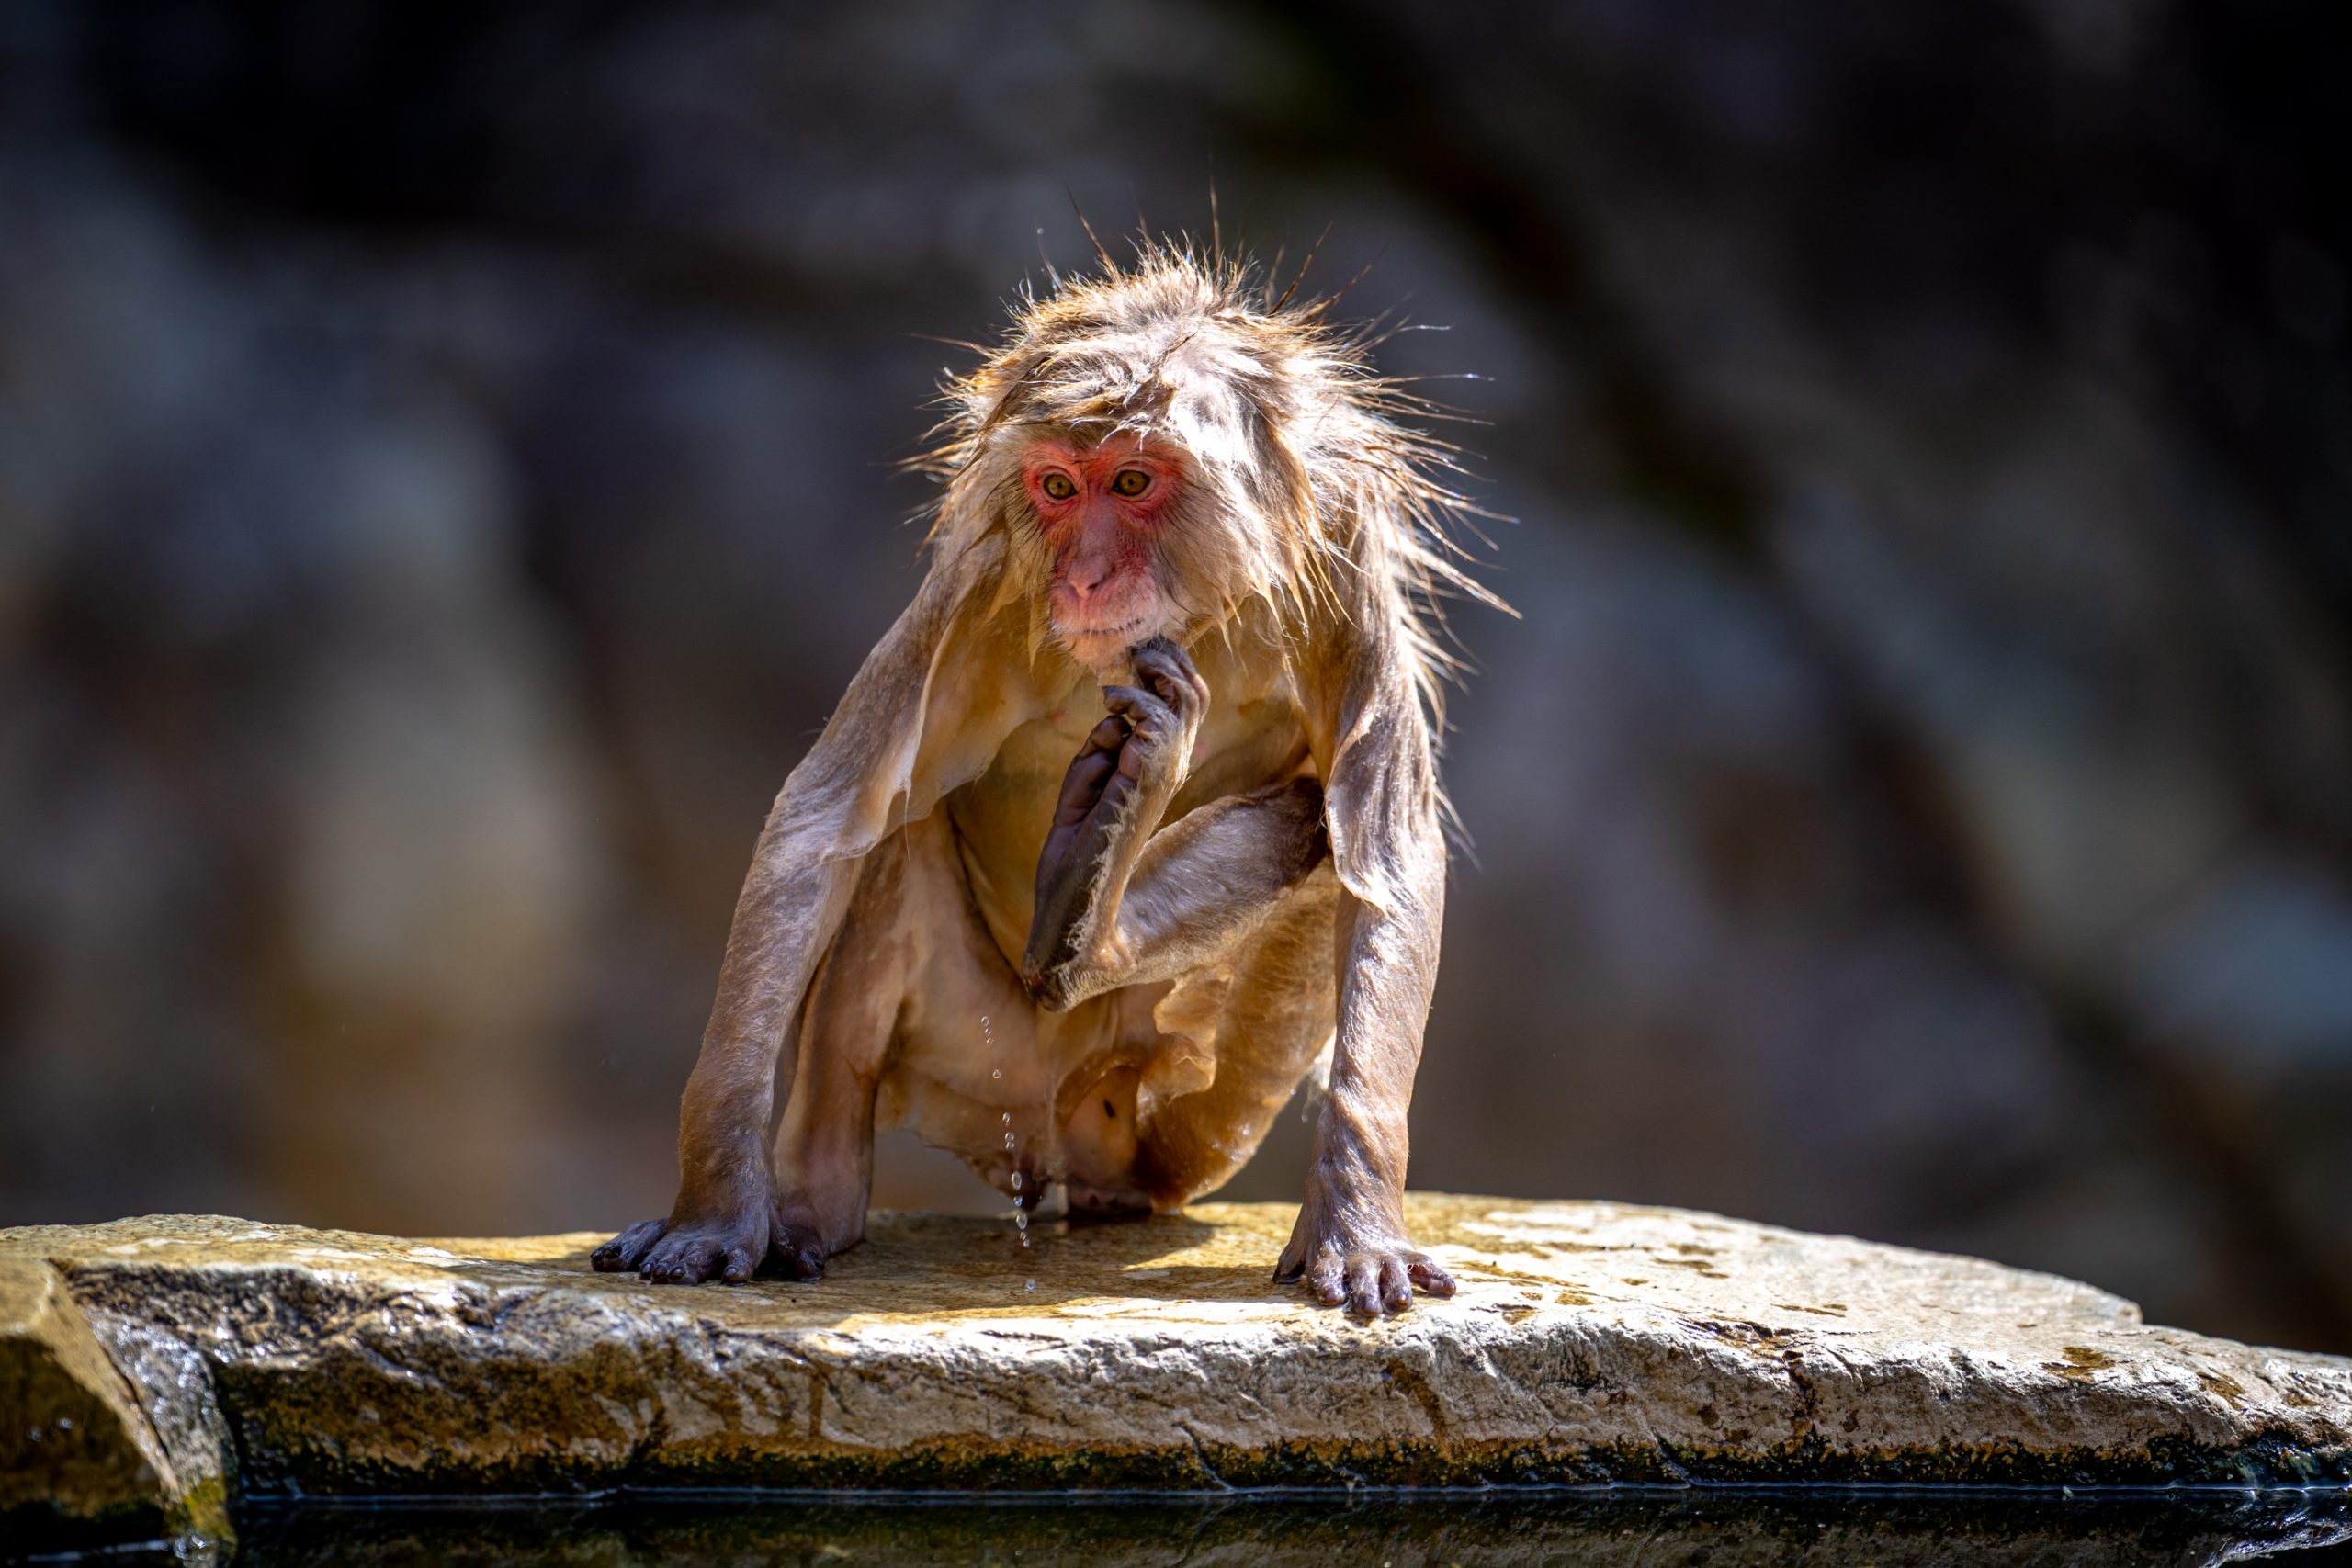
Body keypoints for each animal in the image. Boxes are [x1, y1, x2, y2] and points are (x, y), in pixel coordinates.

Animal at [592, 242, 1498, 1316]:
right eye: (1060, 488)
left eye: (1134, 479)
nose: (1086, 577)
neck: (1198, 606)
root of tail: (1058, 1144)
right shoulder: (983, 581)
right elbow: (823, 824)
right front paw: (714, 1208)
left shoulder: (1347, 547)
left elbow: (1385, 856)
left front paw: (1356, 1218)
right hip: (978, 1060)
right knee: (905, 825)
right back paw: (824, 1196)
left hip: (1169, 1112)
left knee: (1315, 835)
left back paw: (1093, 911)